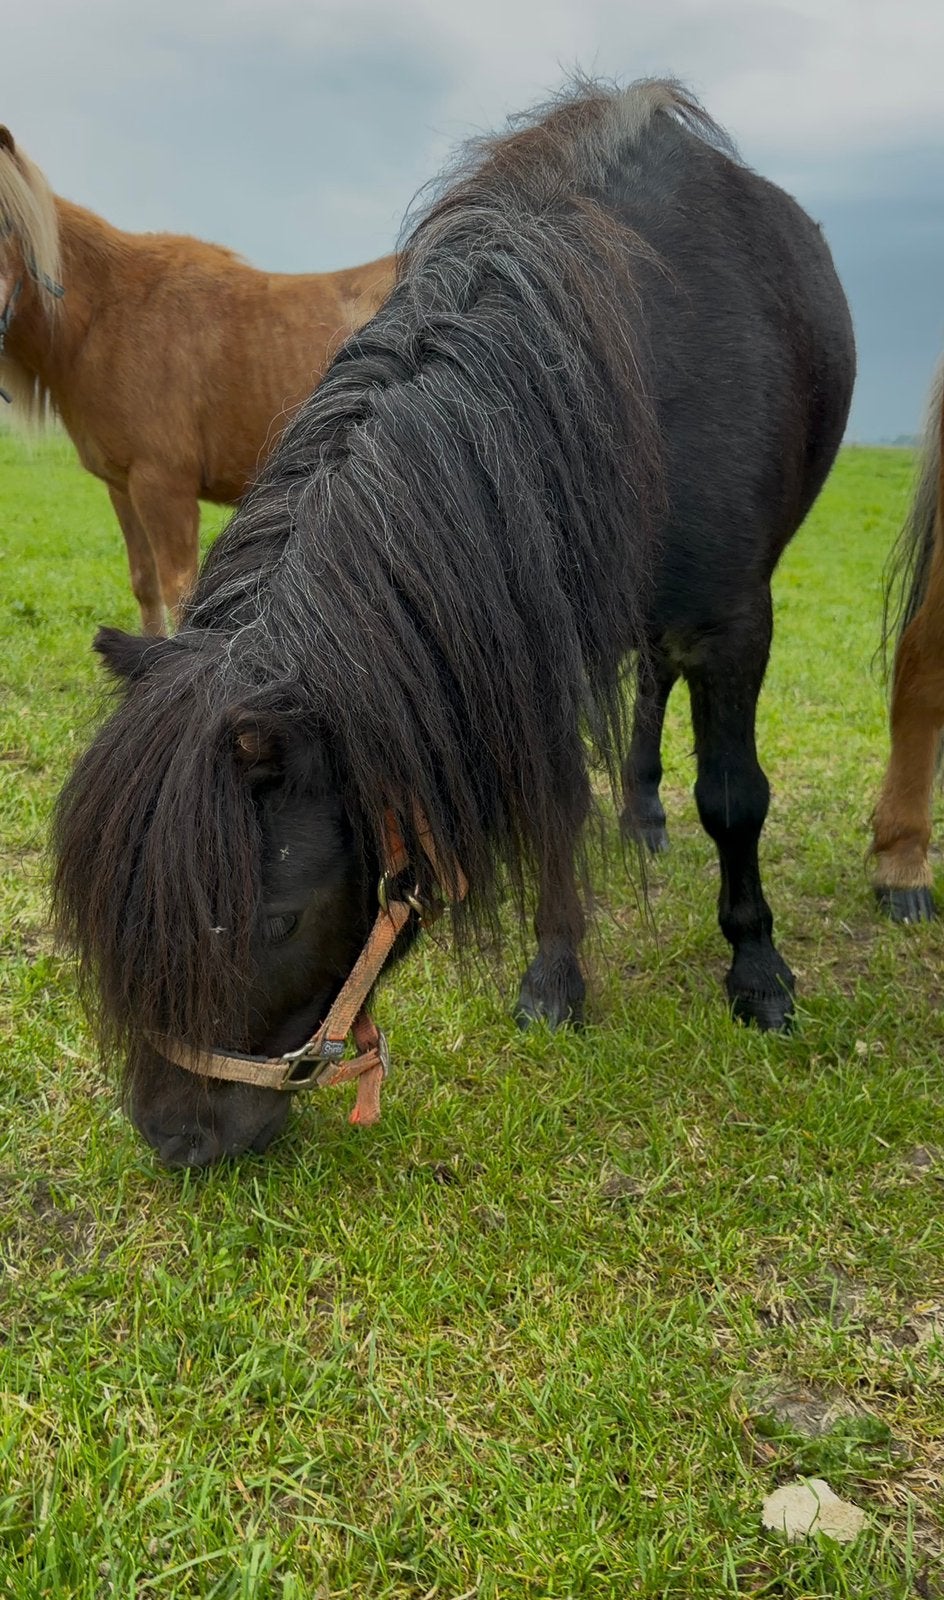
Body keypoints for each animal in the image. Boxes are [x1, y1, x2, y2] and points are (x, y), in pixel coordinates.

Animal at [0, 126, 395, 633]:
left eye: (7, 223)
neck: (108, 316)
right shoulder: (123, 487)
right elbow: (146, 586)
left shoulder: (163, 485)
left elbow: (180, 594)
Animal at [53, 80, 856, 1169]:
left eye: (278, 919)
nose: (173, 1137)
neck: (622, 371)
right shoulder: (532, 637)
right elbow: (557, 803)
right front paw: (555, 977)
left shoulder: (734, 621)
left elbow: (735, 799)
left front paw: (759, 974)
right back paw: (638, 812)